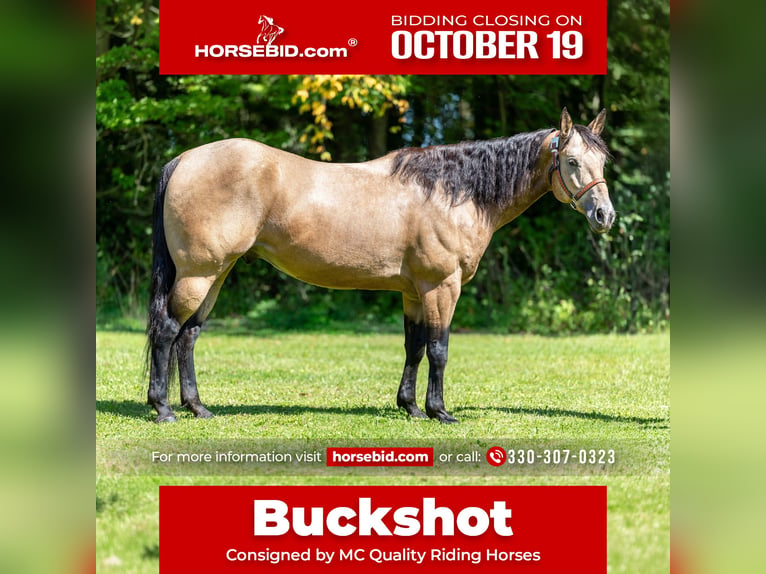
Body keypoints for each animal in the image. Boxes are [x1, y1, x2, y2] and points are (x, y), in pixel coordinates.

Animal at [146, 107, 614, 424]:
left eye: (603, 162)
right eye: (572, 161)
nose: (604, 216)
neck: (450, 193)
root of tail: (184, 159)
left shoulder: (414, 291)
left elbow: (414, 347)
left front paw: (410, 407)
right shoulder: (442, 287)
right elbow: (439, 349)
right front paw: (439, 411)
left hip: (216, 274)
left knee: (188, 336)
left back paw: (198, 407)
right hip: (199, 274)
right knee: (168, 331)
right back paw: (163, 408)